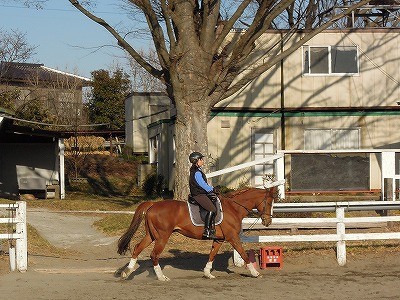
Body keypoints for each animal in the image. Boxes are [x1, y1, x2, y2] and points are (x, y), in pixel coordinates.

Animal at [117, 186, 276, 280]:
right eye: (269, 203)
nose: (268, 222)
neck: (233, 208)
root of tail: (153, 204)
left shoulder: (219, 239)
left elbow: (212, 255)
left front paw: (207, 273)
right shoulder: (232, 237)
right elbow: (243, 254)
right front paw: (255, 273)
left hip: (151, 235)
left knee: (137, 248)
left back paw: (127, 271)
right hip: (162, 237)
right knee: (154, 255)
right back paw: (161, 277)